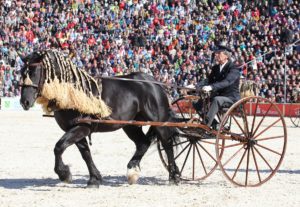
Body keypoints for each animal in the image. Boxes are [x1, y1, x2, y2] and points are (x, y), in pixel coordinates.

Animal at [19, 50, 182, 188]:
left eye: (34, 72)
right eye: (22, 72)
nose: (24, 102)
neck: (72, 91)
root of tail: (154, 82)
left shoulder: (82, 127)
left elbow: (59, 147)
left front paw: (64, 174)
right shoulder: (76, 128)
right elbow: (85, 154)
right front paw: (94, 179)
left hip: (159, 121)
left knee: (167, 145)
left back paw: (174, 176)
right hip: (130, 125)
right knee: (143, 143)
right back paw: (132, 171)